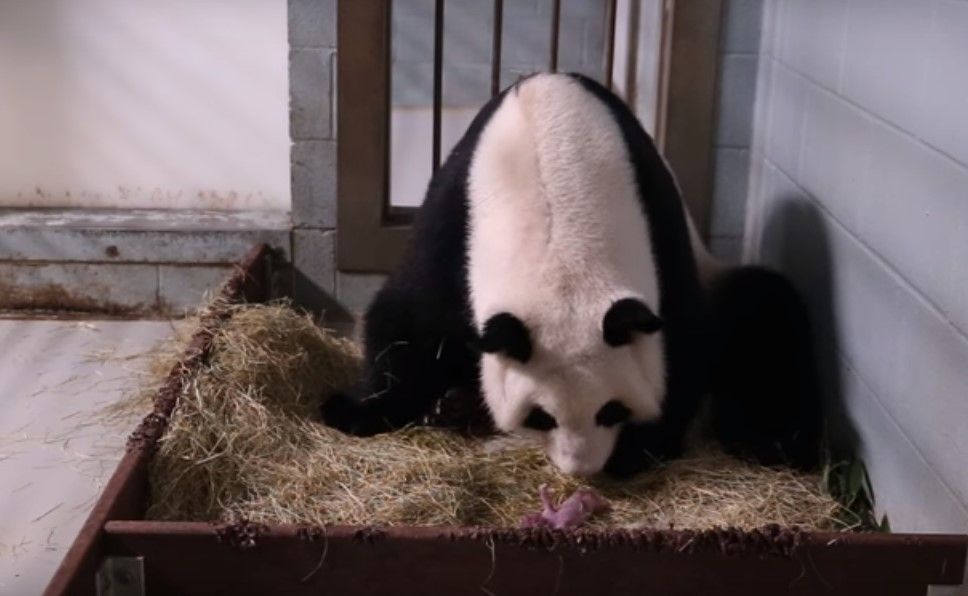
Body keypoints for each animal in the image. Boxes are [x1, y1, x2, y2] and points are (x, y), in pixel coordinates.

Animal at [322, 73, 821, 477]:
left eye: (611, 410)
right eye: (540, 416)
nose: (581, 469)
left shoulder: (659, 225)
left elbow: (685, 341)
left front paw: (639, 448)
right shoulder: (456, 216)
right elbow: (409, 316)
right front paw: (356, 410)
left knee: (764, 312)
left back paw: (772, 441)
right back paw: (452, 406)